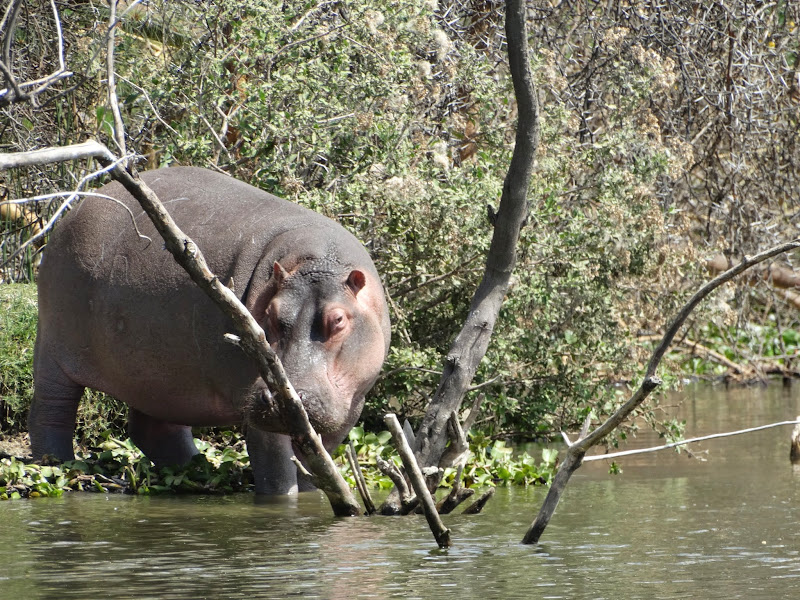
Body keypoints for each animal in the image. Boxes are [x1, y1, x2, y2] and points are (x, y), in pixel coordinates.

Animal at [32, 166, 390, 494]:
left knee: (155, 429)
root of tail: (74, 209)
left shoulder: (352, 406)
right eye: (270, 315)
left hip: (161, 377)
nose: (282, 398)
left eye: (338, 320)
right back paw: (55, 465)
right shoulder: (256, 399)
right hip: (53, 345)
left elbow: (317, 465)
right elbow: (276, 472)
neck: (317, 262)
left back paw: (194, 469)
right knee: (50, 409)